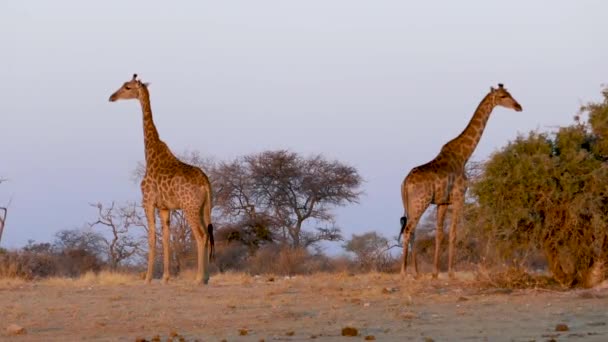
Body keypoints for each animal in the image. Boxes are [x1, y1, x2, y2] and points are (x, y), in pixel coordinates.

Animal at [108, 73, 215, 284]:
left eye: (127, 87)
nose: (111, 97)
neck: (150, 154)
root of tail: (205, 183)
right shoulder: (165, 208)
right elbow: (166, 238)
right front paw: (165, 277)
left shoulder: (148, 202)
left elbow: (152, 237)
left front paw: (148, 278)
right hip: (204, 208)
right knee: (208, 233)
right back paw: (206, 277)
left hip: (190, 208)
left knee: (200, 235)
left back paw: (199, 278)